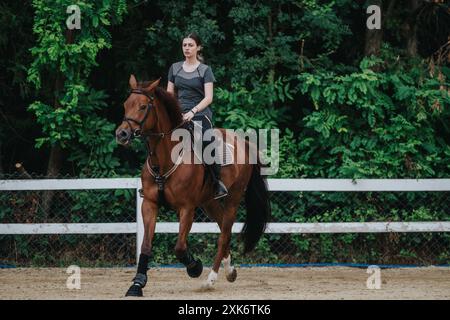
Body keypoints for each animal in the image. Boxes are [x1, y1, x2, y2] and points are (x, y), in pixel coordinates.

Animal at [116, 75, 270, 298]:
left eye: (143, 106)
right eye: (126, 104)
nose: (122, 134)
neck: (165, 159)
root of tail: (244, 142)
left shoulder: (187, 208)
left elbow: (180, 247)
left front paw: (195, 267)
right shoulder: (150, 204)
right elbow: (145, 246)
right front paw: (137, 284)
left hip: (233, 198)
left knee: (224, 233)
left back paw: (211, 279)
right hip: (209, 202)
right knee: (223, 227)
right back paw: (229, 270)